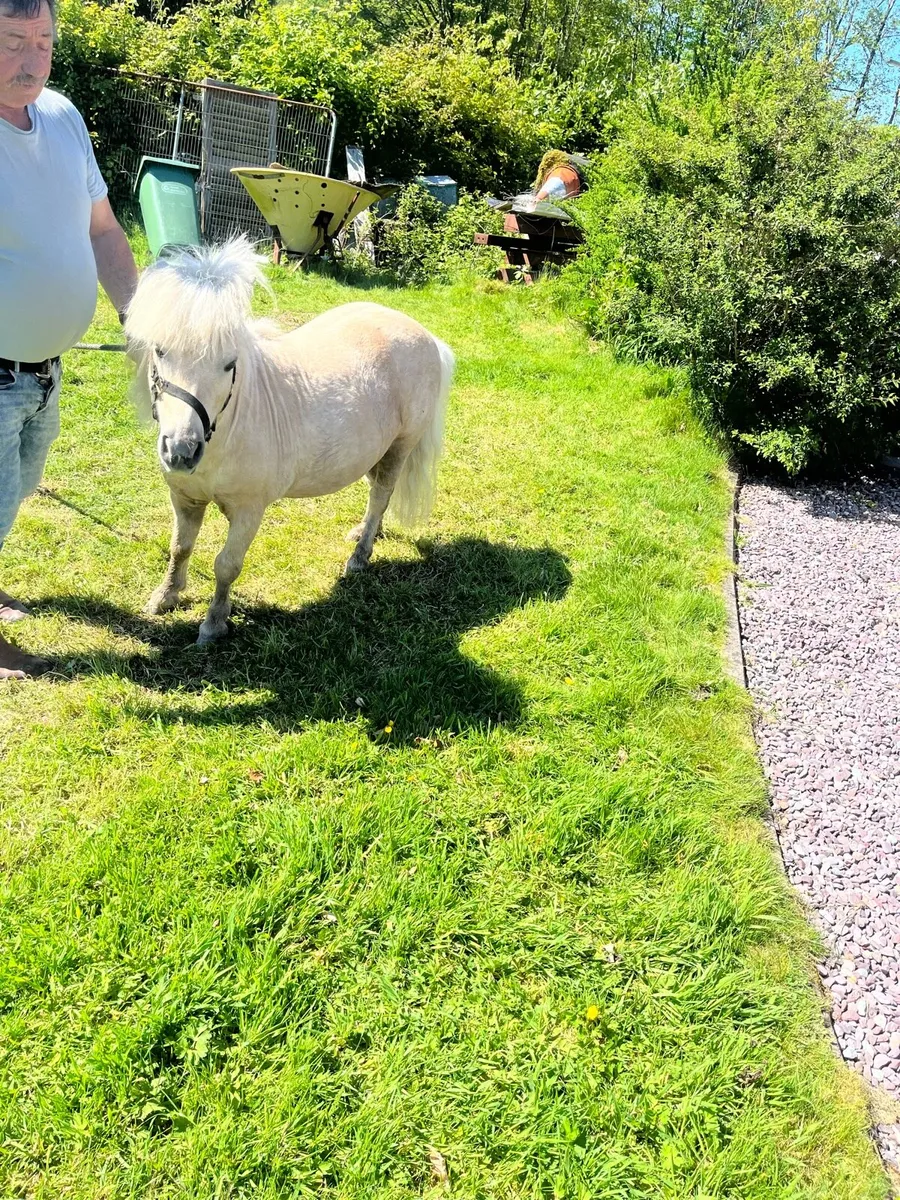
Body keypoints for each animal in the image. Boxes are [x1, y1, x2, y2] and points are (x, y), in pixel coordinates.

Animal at [125, 239, 455, 645]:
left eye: (229, 363)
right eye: (160, 351)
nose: (182, 452)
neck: (229, 429)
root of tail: (427, 337)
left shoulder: (249, 511)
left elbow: (226, 566)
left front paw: (214, 625)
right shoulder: (185, 499)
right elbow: (180, 548)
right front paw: (166, 596)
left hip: (400, 447)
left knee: (382, 495)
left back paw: (359, 557)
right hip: (372, 450)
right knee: (377, 493)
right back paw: (366, 533)